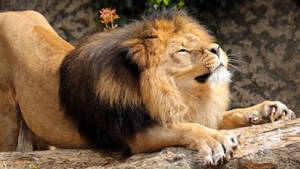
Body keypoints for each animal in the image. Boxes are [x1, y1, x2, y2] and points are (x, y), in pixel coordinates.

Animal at [0, 10, 296, 165]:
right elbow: (185, 128)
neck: (177, 93)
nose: (217, 48)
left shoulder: (192, 110)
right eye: (183, 49)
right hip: (7, 116)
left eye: (197, 42)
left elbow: (229, 115)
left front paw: (268, 110)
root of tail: (10, 11)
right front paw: (217, 141)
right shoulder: (136, 135)